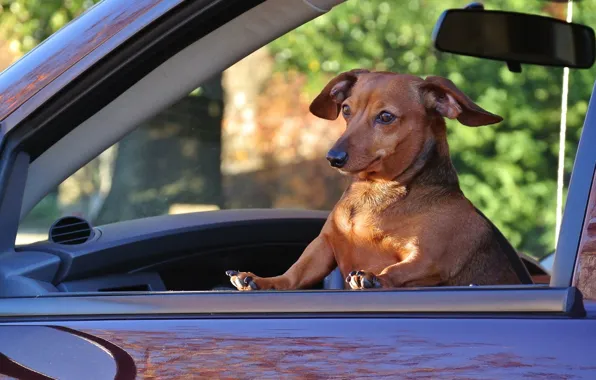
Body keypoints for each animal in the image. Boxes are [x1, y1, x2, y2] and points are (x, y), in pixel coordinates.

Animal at [226, 70, 524, 290]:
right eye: (346, 110)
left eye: (386, 117)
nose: (333, 157)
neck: (375, 192)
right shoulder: (324, 245)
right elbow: (296, 272)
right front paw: (264, 281)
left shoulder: (428, 260)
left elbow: (403, 269)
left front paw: (375, 277)